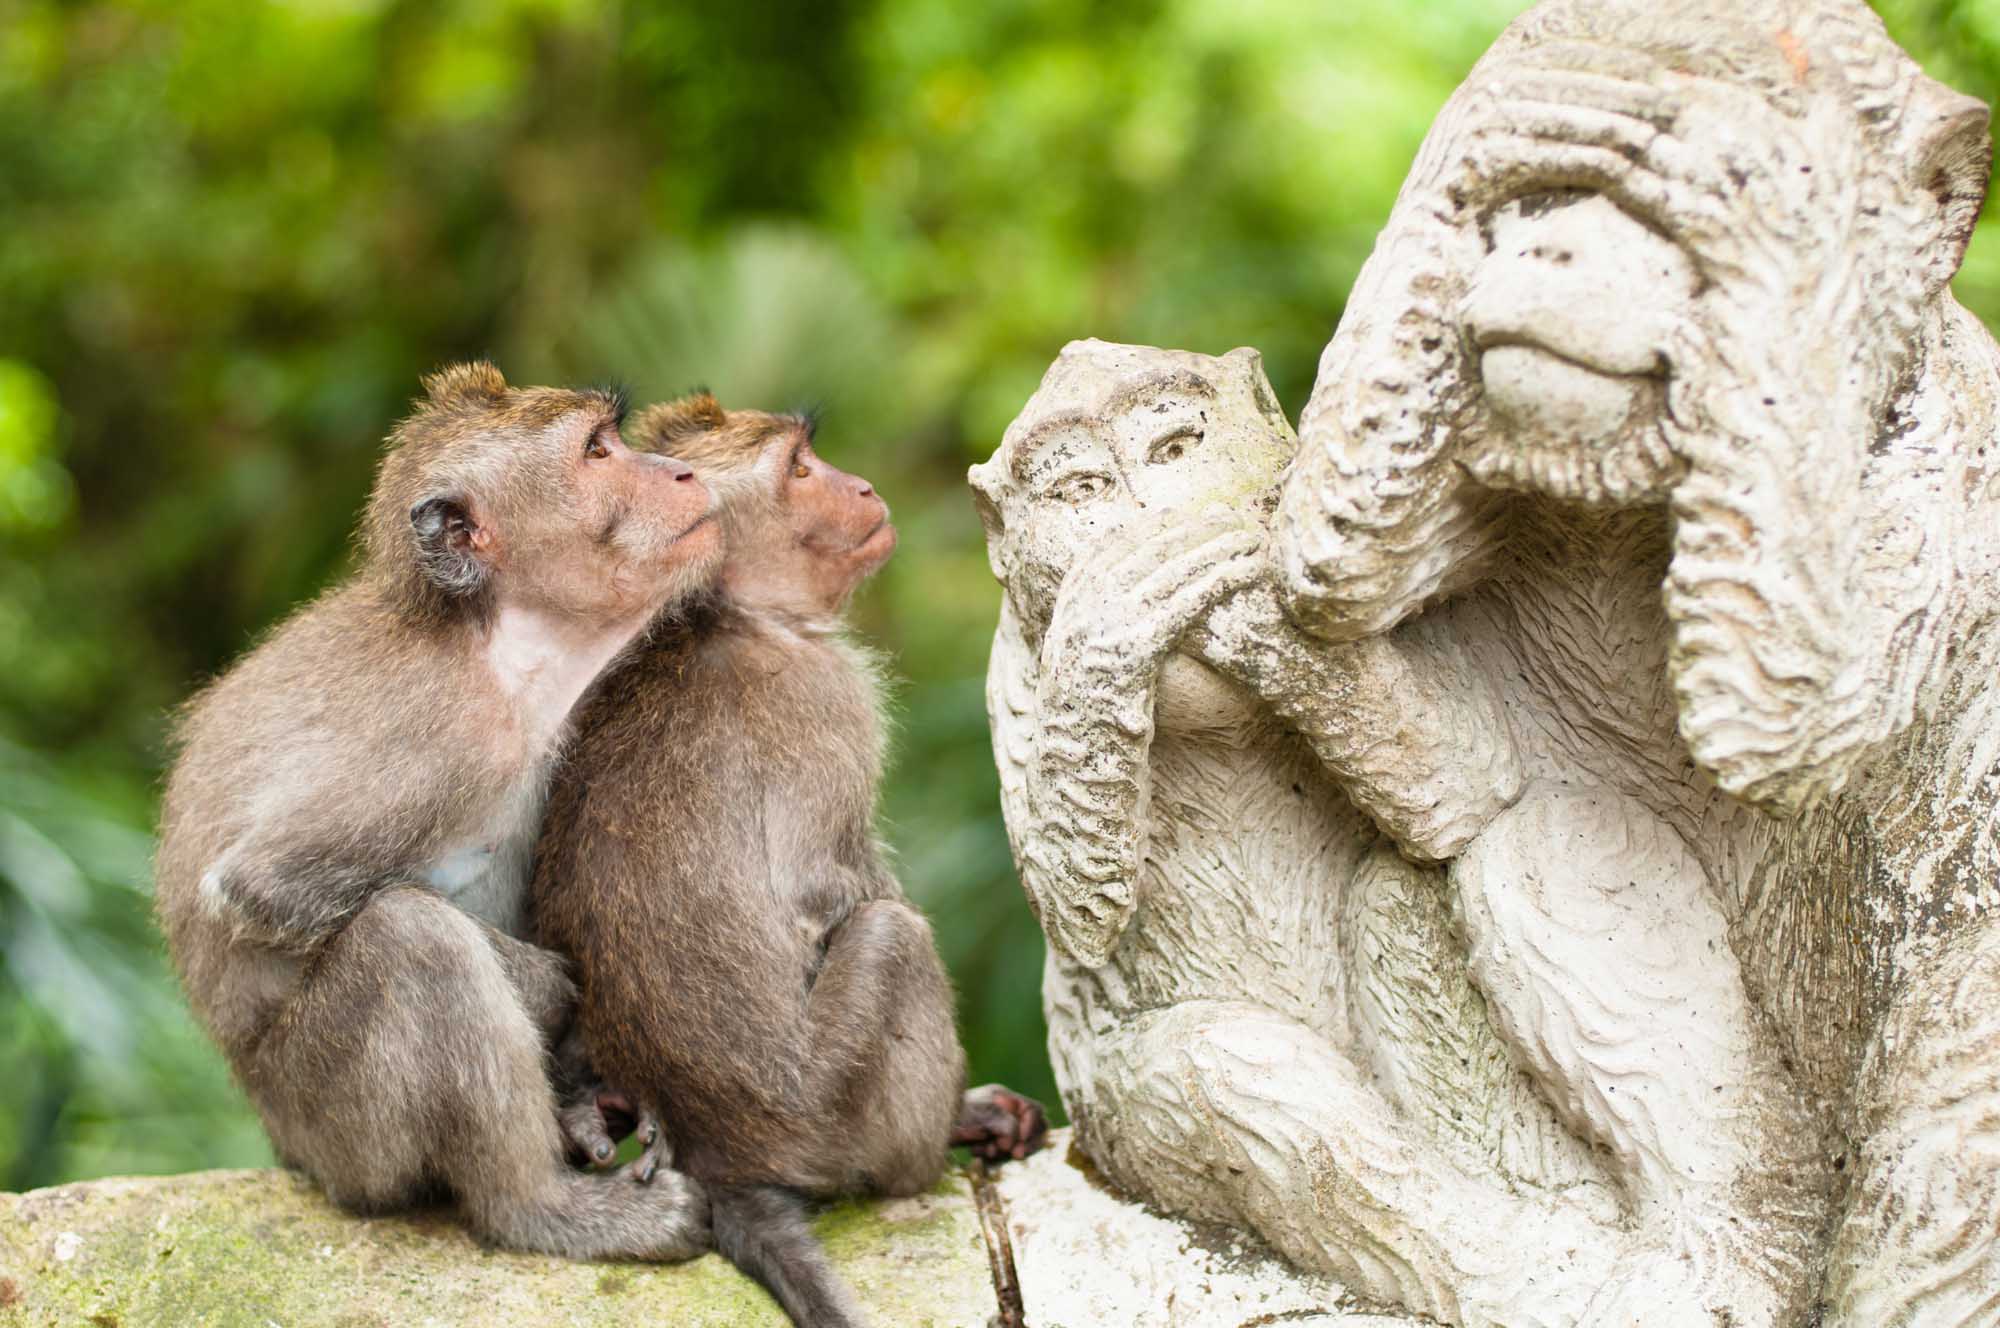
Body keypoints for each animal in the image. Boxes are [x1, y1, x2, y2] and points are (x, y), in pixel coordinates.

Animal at [153, 362, 718, 1261]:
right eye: (598, 451)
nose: (682, 473)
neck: (498, 643)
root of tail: (285, 1144)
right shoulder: (446, 735)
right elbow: (259, 885)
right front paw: (552, 993)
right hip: (335, 1128)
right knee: (413, 941)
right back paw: (542, 1208)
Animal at [533, 393, 1047, 1328]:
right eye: (801, 470)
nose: (863, 485)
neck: (731, 612)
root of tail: (724, 1157)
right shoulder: (829, 697)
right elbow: (828, 886)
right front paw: (971, 1103)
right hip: (829, 1112)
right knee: (891, 936)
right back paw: (935, 1142)